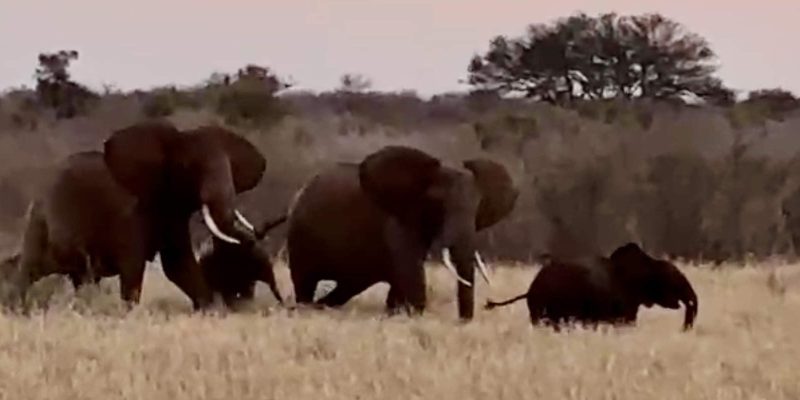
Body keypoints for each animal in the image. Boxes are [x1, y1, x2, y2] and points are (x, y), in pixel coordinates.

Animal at [12, 121, 267, 310]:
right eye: (190, 167)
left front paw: (211, 310)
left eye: (232, 167)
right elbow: (133, 267)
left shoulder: (173, 211)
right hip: (39, 222)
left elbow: (179, 266)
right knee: (31, 270)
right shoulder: (129, 213)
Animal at [286, 145, 519, 320]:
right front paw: (413, 315)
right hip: (300, 235)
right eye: (437, 203)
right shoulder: (397, 220)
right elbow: (410, 271)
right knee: (305, 282)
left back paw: (321, 307)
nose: (463, 321)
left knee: (347, 286)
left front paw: (396, 314)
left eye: (478, 207)